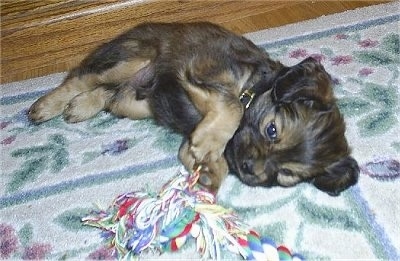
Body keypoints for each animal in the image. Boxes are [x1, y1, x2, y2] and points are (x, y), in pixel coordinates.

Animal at [28, 21, 360, 193]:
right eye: (272, 130)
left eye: (287, 175)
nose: (250, 170)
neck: (253, 87)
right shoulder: (198, 70)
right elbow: (232, 106)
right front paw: (209, 143)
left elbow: (204, 154)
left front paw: (208, 167)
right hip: (135, 58)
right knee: (80, 77)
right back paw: (47, 106)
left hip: (138, 102)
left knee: (109, 94)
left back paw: (81, 106)